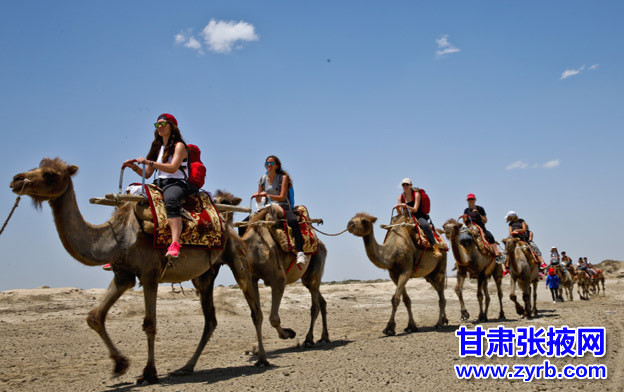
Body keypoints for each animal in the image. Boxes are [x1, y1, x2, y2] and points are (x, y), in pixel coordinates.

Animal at [9, 158, 268, 384]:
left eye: (49, 174)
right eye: (38, 166)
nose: (16, 179)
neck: (120, 237)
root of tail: (227, 224)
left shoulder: (150, 274)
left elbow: (149, 324)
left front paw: (148, 373)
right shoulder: (123, 275)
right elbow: (94, 316)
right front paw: (120, 365)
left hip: (237, 260)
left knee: (254, 310)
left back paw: (262, 359)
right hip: (204, 275)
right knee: (211, 319)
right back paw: (186, 367)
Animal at [214, 191, 330, 348]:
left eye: (225, 201)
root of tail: (321, 244)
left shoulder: (278, 279)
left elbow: (273, 318)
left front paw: (288, 333)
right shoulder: (252, 279)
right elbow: (257, 314)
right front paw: (255, 348)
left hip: (316, 267)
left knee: (315, 305)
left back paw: (308, 339)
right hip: (308, 278)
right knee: (321, 301)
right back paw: (324, 337)